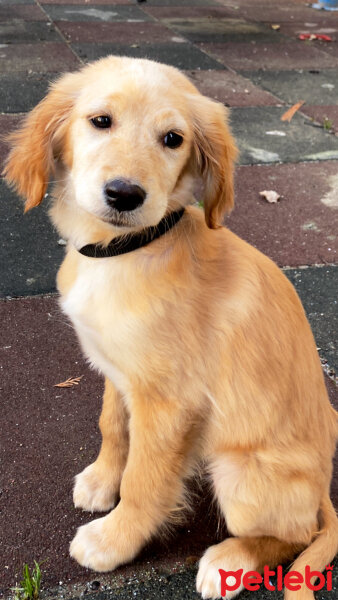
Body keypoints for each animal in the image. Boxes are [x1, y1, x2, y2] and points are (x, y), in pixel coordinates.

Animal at [3, 55, 338, 596]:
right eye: (101, 121)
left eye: (173, 139)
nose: (124, 194)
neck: (125, 251)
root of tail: (323, 488)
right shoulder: (119, 371)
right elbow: (113, 426)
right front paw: (102, 479)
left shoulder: (169, 402)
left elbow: (145, 480)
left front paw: (113, 540)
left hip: (241, 474)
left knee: (295, 534)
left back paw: (230, 561)